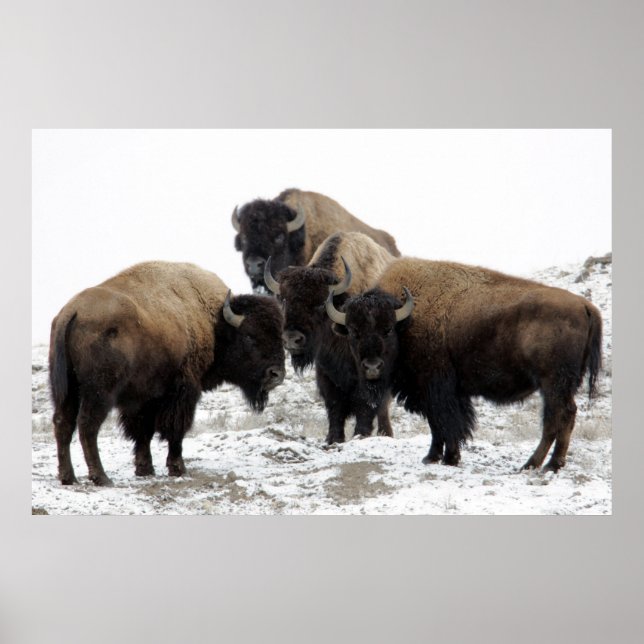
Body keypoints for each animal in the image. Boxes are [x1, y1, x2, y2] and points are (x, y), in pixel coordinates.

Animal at [49, 261, 285, 486]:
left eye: (279, 335)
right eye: (249, 336)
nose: (276, 374)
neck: (214, 323)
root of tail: (72, 312)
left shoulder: (144, 399)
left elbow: (143, 432)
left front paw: (145, 469)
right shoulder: (182, 392)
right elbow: (175, 430)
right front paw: (177, 468)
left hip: (66, 390)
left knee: (63, 423)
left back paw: (68, 477)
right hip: (99, 393)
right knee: (87, 426)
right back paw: (102, 478)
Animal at [264, 232, 395, 443]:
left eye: (320, 303)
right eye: (284, 300)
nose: (292, 339)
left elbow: (365, 404)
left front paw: (360, 434)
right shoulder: (325, 371)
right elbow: (334, 406)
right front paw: (333, 438)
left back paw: (386, 434)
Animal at [326, 257, 602, 472]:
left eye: (387, 330)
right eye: (353, 332)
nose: (372, 367)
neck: (407, 320)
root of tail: (585, 305)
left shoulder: (436, 390)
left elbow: (444, 422)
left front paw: (445, 458)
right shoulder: (442, 393)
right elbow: (441, 424)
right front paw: (436, 457)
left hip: (553, 383)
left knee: (557, 418)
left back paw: (539, 465)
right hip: (560, 385)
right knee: (563, 417)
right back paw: (545, 464)